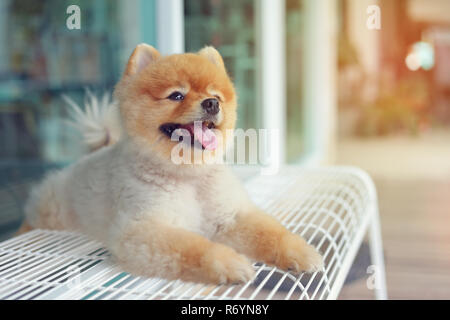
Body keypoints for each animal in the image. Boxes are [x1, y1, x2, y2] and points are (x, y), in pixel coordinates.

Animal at [20, 43, 324, 284]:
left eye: (216, 95)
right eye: (177, 95)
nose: (212, 103)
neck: (190, 177)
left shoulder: (231, 216)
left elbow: (272, 233)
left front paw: (299, 252)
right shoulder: (143, 229)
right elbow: (194, 247)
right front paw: (228, 262)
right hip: (50, 211)